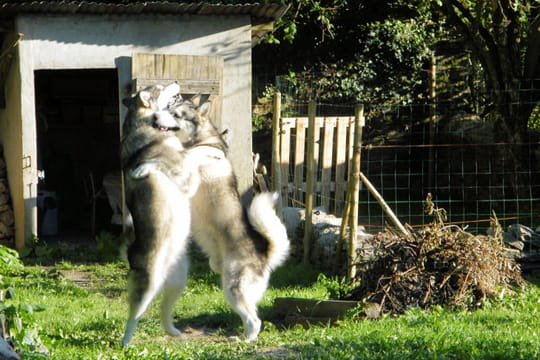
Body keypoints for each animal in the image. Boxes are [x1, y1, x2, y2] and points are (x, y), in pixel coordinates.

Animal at [120, 83, 200, 348]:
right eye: (158, 87)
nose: (175, 83)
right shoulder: (185, 171)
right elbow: (168, 160)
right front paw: (142, 168)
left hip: (178, 281)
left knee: (164, 311)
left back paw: (173, 331)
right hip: (148, 285)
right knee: (134, 315)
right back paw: (125, 342)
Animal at [169, 95, 288, 340]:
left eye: (177, 115)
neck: (203, 142)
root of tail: (264, 255)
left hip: (234, 289)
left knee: (255, 321)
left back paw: (245, 341)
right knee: (252, 317)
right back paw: (242, 336)